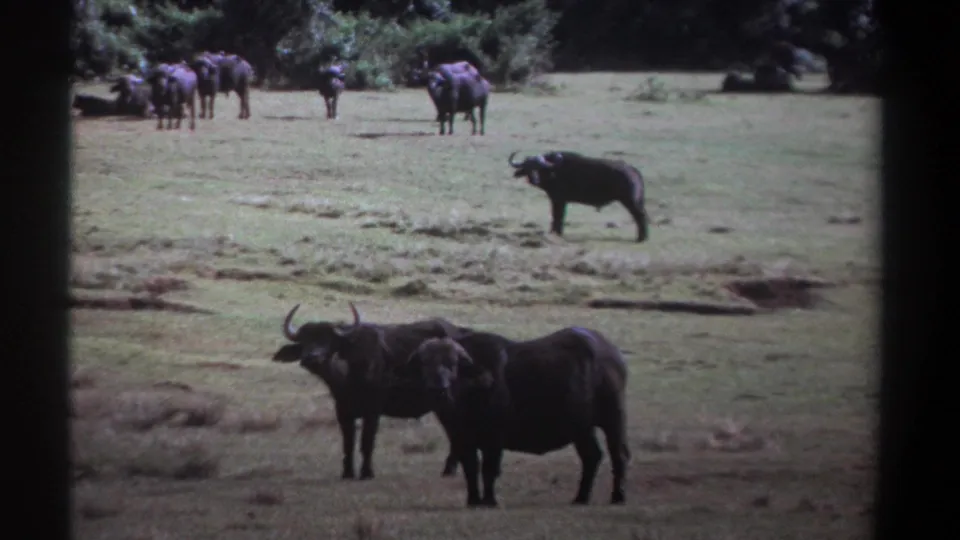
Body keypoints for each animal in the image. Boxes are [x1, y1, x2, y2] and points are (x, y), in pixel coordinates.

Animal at [271, 302, 472, 480]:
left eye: (328, 340)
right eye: (305, 340)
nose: (311, 357)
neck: (348, 373)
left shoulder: (373, 411)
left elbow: (366, 442)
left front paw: (367, 473)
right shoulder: (343, 411)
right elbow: (348, 443)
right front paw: (347, 473)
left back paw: (449, 469)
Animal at [402, 328, 631, 507]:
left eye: (453, 364)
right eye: (425, 363)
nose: (438, 388)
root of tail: (612, 353)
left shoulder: (494, 437)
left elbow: (489, 468)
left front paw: (489, 501)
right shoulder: (462, 438)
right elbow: (470, 468)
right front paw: (473, 500)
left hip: (613, 418)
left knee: (618, 454)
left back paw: (618, 496)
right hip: (581, 428)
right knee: (592, 456)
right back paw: (580, 497)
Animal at [508, 151, 650, 242]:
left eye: (539, 168)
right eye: (527, 167)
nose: (534, 180)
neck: (554, 171)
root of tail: (633, 170)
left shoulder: (559, 200)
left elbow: (558, 216)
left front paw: (556, 232)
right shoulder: (557, 200)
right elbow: (557, 216)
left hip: (630, 201)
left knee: (640, 216)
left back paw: (642, 238)